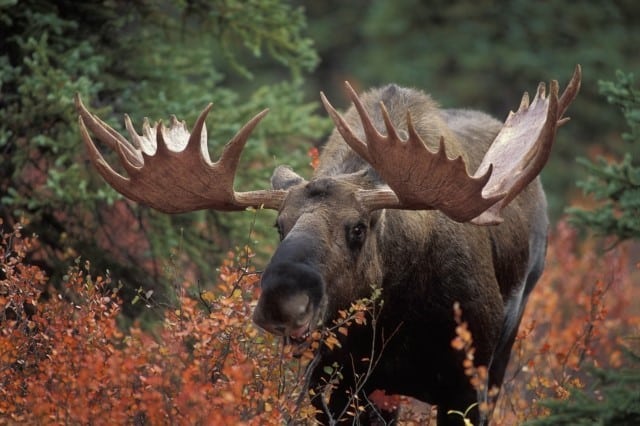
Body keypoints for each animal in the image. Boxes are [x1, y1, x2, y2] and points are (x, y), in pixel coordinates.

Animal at [75, 65, 580, 422]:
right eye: (279, 225)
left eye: (358, 228)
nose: (282, 301)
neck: (394, 318)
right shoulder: (332, 386)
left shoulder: (465, 385)